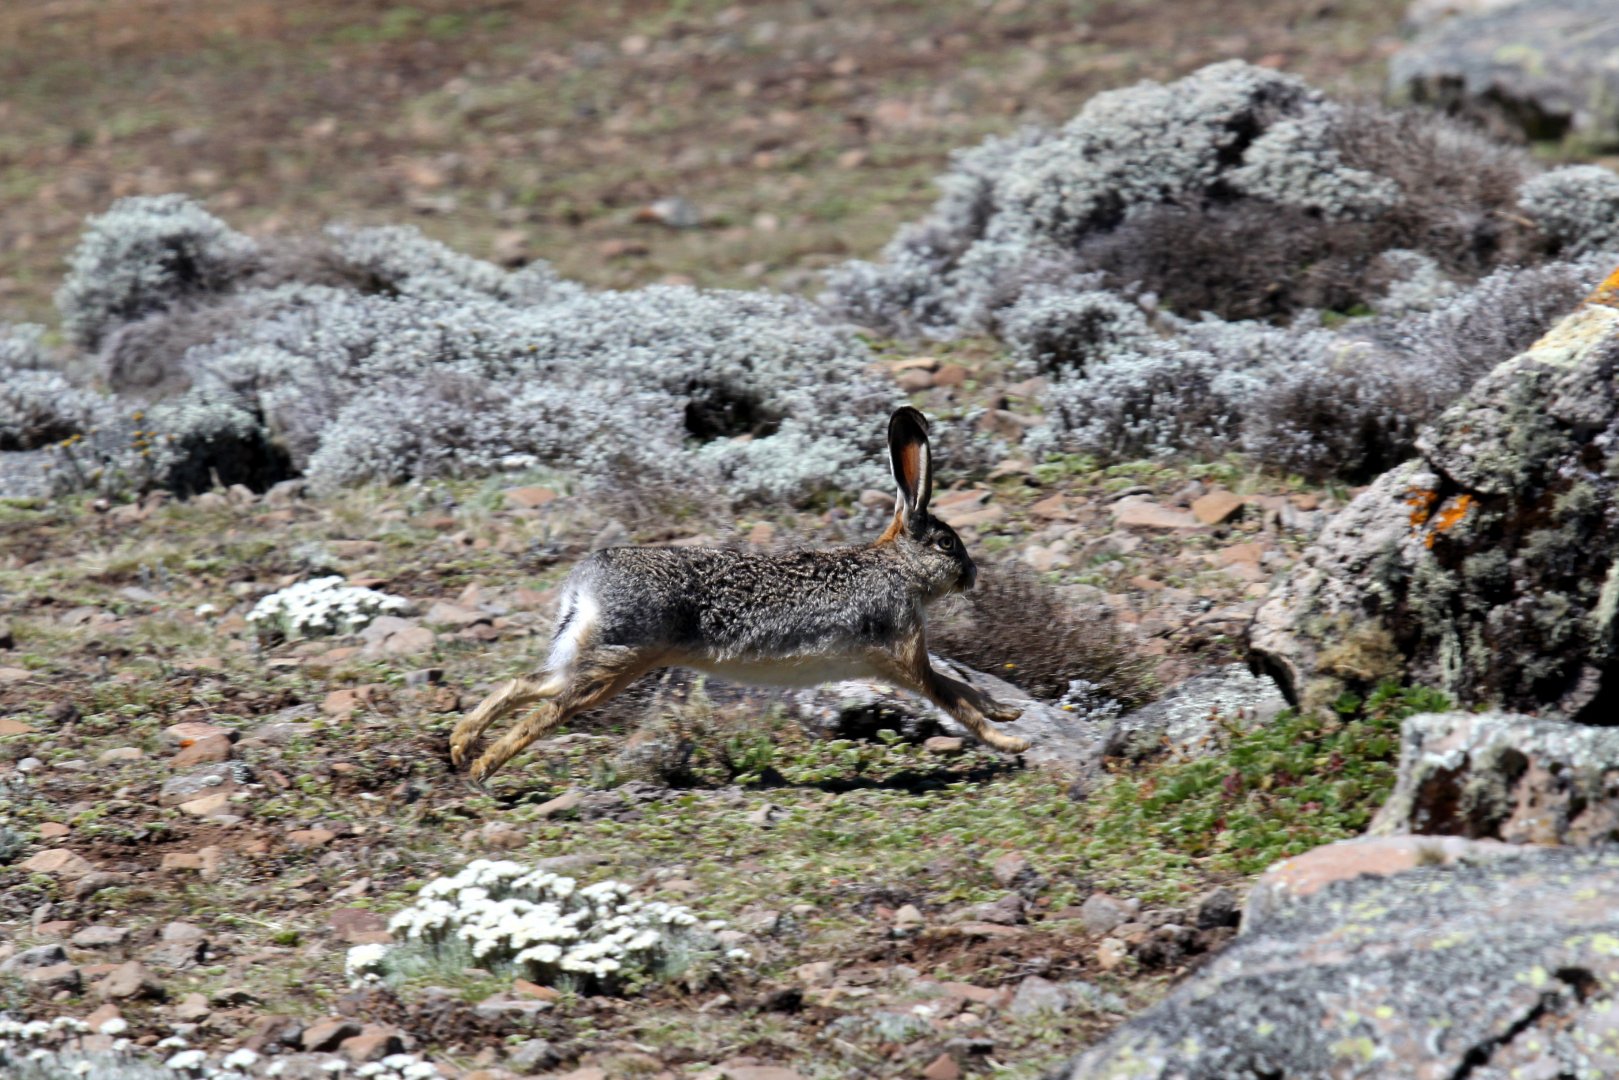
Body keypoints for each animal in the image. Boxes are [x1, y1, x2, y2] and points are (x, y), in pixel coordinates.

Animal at [449, 405, 1030, 783]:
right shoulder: (904, 656)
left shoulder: (906, 659)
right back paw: (482, 767)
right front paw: (1011, 740)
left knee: (528, 684)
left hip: (596, 654)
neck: (897, 567)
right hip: (621, 659)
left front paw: (1008, 713)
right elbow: (955, 701)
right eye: (947, 543)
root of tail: (584, 584)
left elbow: (964, 689)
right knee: (548, 709)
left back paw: (460, 745)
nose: (972, 575)